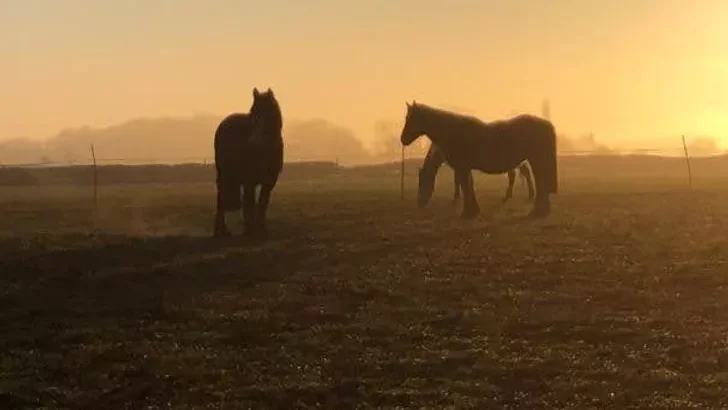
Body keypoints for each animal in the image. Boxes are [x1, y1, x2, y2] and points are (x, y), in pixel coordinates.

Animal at [212, 87, 282, 240]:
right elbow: (250, 204)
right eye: (252, 112)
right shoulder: (249, 180)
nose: (253, 141)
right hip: (224, 174)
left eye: (267, 113)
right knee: (221, 197)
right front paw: (250, 232)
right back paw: (222, 231)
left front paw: (261, 230)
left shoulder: (269, 181)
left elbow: (262, 203)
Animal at [400, 101, 560, 219]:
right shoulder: (464, 168)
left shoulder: (462, 167)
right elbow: (468, 186)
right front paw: (472, 210)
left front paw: (467, 212)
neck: (453, 132)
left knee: (540, 182)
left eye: (410, 118)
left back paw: (537, 210)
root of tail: (547, 124)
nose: (403, 140)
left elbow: (465, 187)